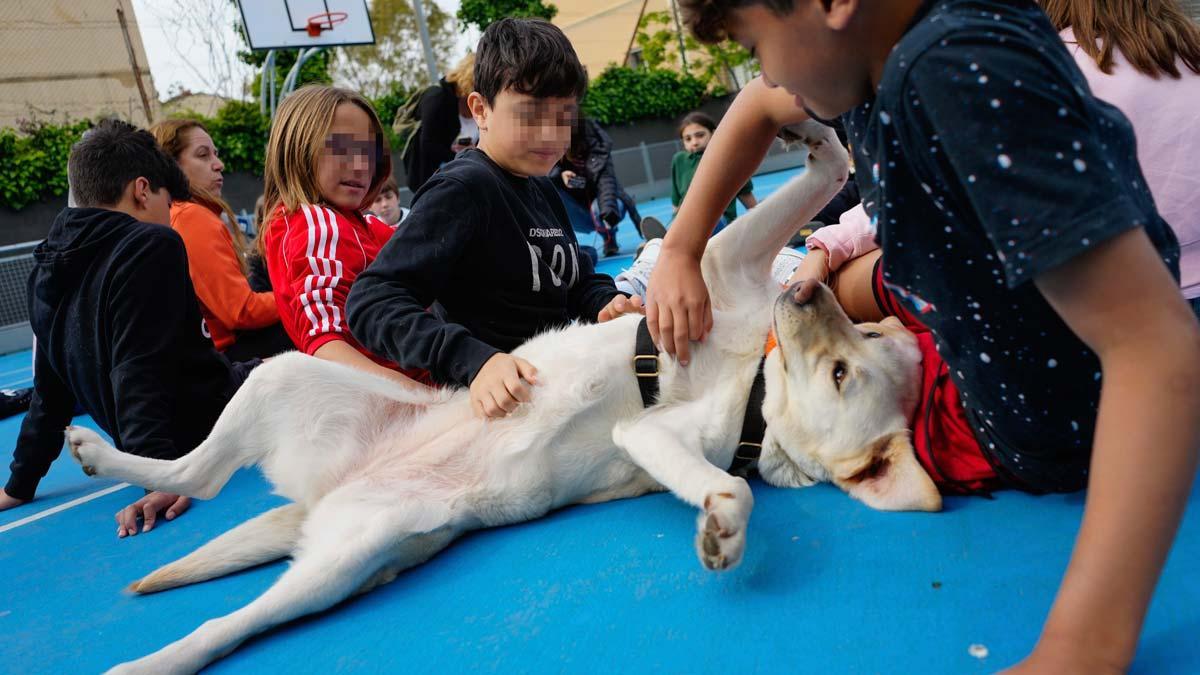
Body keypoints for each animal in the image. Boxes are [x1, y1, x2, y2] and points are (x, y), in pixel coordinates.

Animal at [68, 121, 945, 672]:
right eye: (867, 335)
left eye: (844, 369)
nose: (806, 292)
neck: (752, 375)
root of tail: (326, 498)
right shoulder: (720, 262)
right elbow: (829, 172)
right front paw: (810, 126)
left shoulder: (661, 438)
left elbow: (732, 485)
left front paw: (722, 530)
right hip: (282, 374)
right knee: (198, 471)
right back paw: (105, 459)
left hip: (349, 558)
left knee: (225, 609)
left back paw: (148, 652)